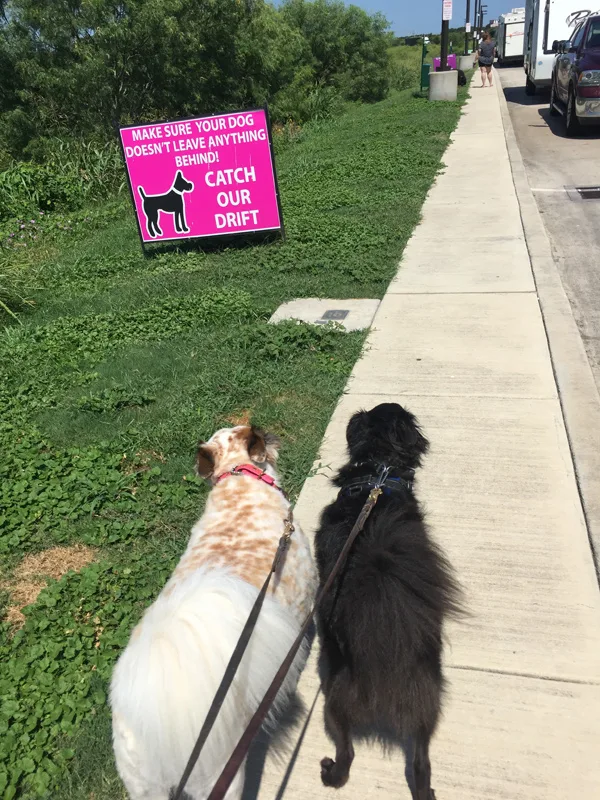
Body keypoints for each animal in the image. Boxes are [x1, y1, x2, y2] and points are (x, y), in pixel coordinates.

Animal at [316, 406, 462, 800]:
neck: (378, 472)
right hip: (426, 707)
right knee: (421, 762)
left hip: (333, 702)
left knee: (347, 753)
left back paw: (330, 771)